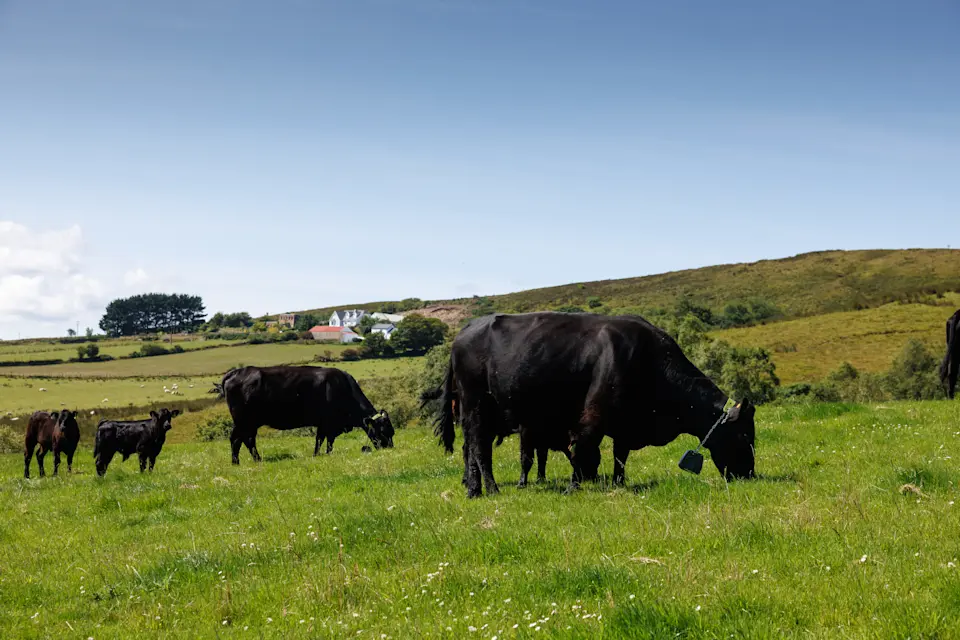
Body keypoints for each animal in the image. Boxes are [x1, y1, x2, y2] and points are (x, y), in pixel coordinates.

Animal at [219, 366, 395, 465]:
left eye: (392, 432)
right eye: (382, 431)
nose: (389, 449)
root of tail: (235, 372)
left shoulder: (328, 425)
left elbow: (325, 441)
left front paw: (322, 454)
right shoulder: (327, 422)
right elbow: (323, 440)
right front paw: (320, 455)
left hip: (249, 423)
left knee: (244, 440)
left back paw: (245, 460)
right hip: (244, 421)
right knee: (239, 439)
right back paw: (242, 461)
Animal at [426, 312, 756, 498]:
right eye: (744, 435)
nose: (750, 475)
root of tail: (466, 330)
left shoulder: (624, 425)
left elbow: (619, 457)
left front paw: (618, 483)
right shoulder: (592, 418)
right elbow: (583, 453)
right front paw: (574, 487)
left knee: (472, 450)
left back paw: (475, 488)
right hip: (476, 408)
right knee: (479, 449)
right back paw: (488, 489)